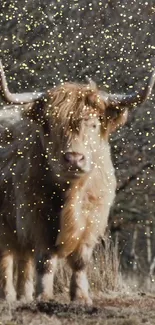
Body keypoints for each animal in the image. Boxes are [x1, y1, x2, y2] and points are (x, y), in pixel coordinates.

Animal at [0, 61, 154, 304]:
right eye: (51, 125)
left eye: (93, 125)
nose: (74, 158)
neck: (72, 191)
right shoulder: (36, 215)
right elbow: (45, 260)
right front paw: (44, 296)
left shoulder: (94, 216)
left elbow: (81, 260)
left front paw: (80, 297)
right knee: (7, 258)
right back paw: (8, 296)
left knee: (24, 258)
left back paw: (24, 296)